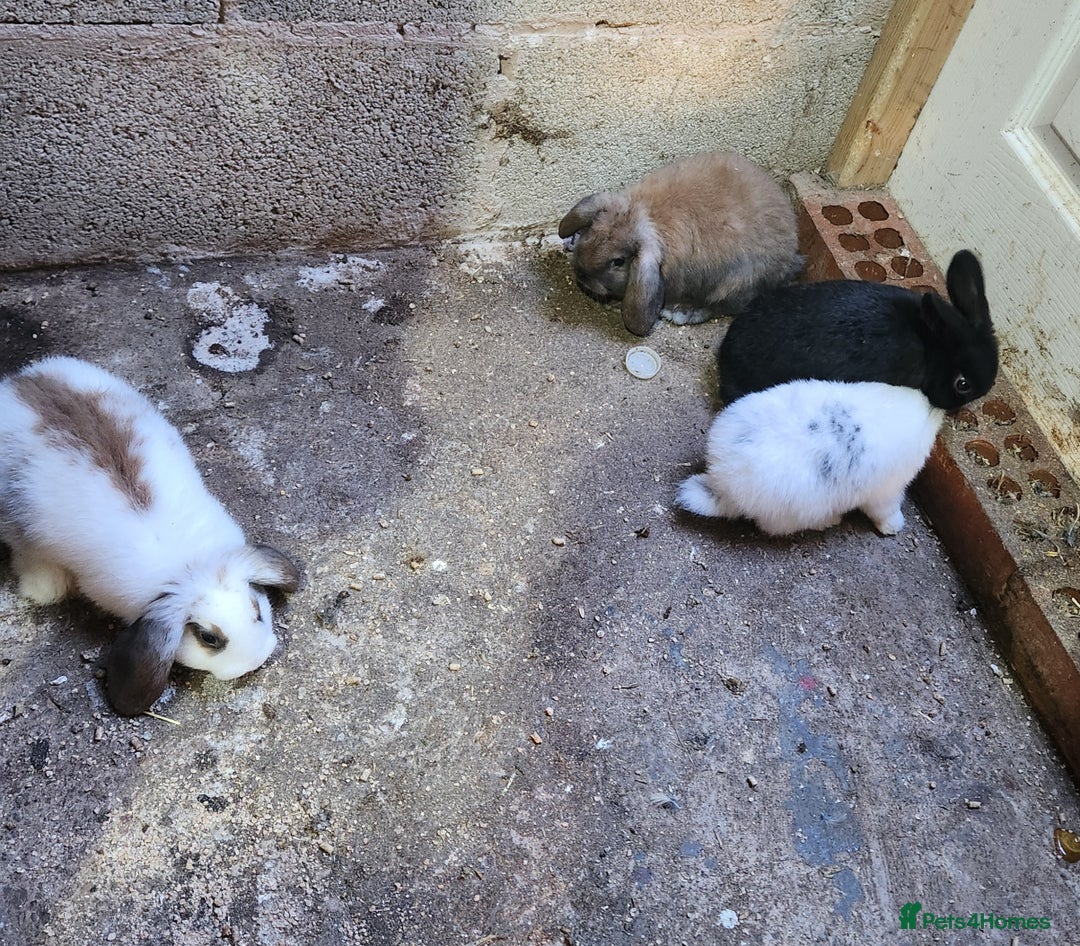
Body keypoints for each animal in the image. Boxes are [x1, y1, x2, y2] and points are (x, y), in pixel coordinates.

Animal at [557, 151, 804, 336]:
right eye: (591, 230)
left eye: (618, 261)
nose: (581, 274)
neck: (645, 216)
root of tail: (790, 259)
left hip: (735, 283)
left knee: (720, 307)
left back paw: (682, 312)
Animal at [676, 379, 944, 537]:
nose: (939, 410)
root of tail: (723, 482)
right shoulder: (885, 492)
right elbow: (885, 511)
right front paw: (893, 527)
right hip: (796, 510)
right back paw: (830, 521)